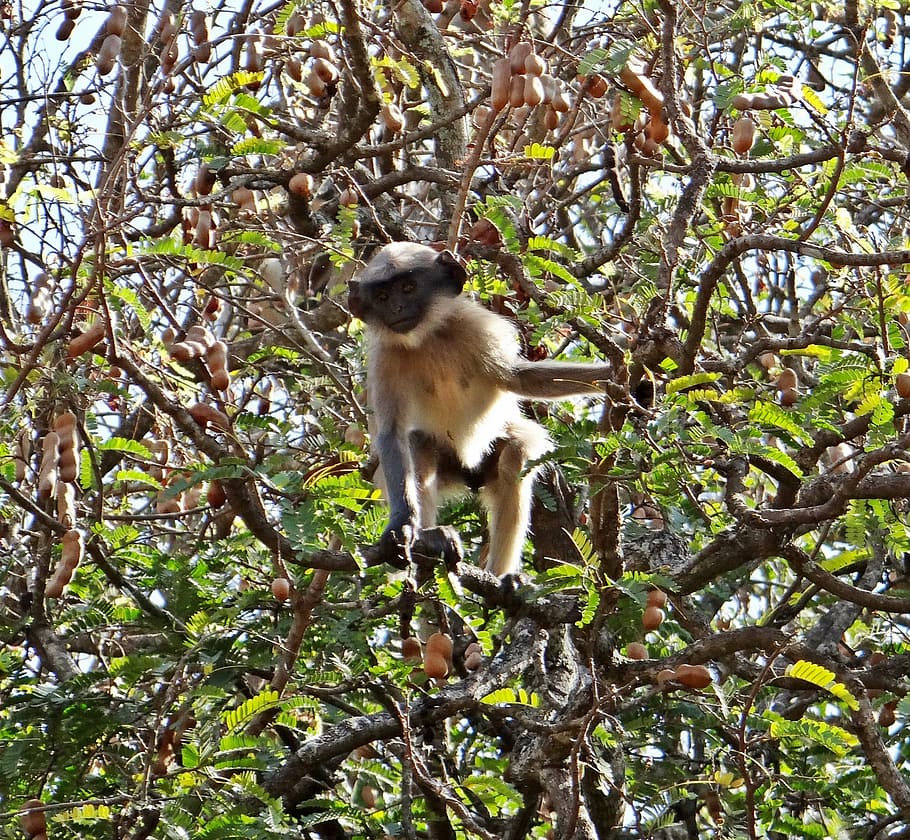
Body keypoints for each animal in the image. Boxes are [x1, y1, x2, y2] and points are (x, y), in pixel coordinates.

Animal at [348, 242, 614, 577]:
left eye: (408, 289)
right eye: (382, 297)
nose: (396, 309)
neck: (428, 338)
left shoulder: (477, 327)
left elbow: (521, 378)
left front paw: (629, 378)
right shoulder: (386, 357)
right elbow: (391, 434)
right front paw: (400, 528)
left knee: (515, 455)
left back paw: (502, 577)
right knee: (417, 443)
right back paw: (430, 539)